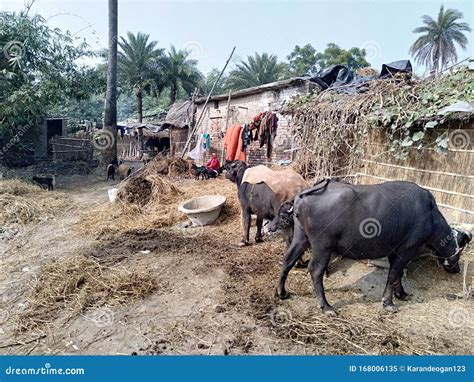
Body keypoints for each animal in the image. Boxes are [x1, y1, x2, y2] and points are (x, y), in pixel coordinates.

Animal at [268, 181, 472, 314]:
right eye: (460, 250)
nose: (456, 269)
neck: (429, 216)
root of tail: (302, 196)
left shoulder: (395, 252)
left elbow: (397, 275)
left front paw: (402, 294)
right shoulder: (406, 251)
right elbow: (393, 275)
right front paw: (388, 302)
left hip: (301, 238)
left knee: (288, 260)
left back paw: (281, 292)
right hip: (323, 246)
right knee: (315, 270)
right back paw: (326, 306)